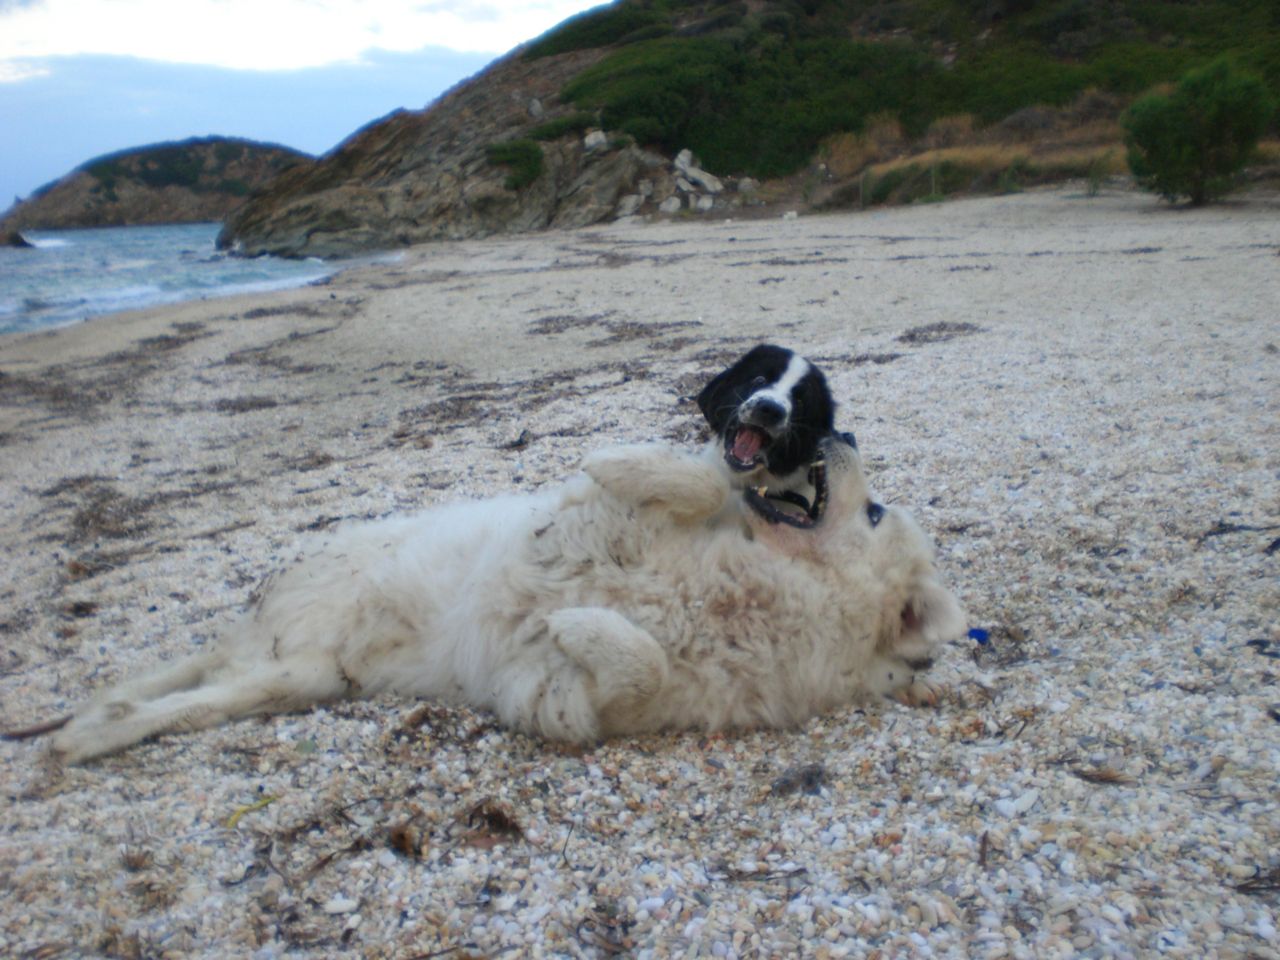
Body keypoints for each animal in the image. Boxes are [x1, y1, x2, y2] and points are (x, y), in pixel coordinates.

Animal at [45, 437, 962, 768]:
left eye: (874, 512)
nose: (838, 435)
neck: (754, 593)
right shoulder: (599, 522)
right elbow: (696, 481)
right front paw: (614, 459)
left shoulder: (555, 699)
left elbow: (636, 661)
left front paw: (579, 622)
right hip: (296, 638)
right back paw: (85, 728)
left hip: (301, 677)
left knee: (186, 699)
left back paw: (90, 730)